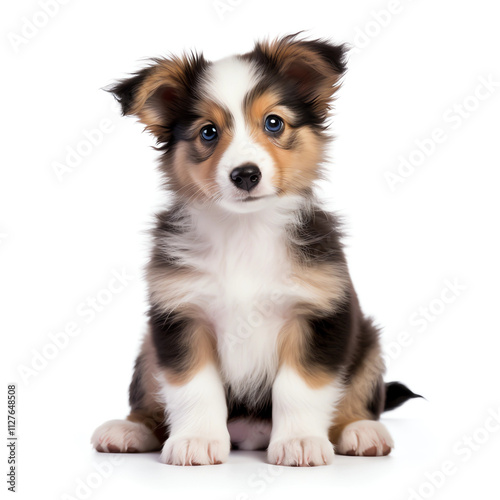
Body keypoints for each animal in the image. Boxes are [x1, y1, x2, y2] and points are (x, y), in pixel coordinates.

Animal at [92, 34, 420, 464]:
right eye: (208, 132)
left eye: (273, 122)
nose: (245, 175)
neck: (244, 232)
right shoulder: (180, 316)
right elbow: (194, 386)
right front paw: (196, 439)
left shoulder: (317, 315)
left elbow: (299, 386)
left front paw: (300, 441)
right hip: (148, 348)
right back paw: (130, 429)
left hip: (367, 342)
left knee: (359, 397)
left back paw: (361, 431)